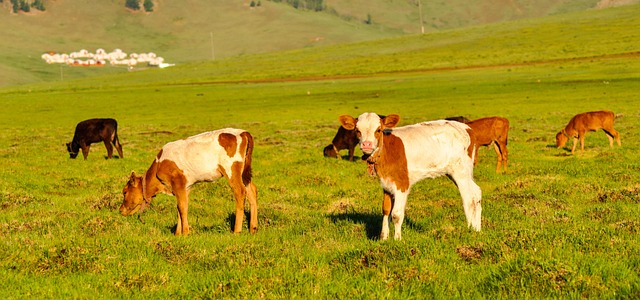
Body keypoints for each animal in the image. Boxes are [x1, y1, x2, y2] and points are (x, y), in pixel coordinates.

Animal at [119, 127, 258, 236]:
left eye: (124, 192)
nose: (120, 210)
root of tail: (242, 132)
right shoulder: (186, 186)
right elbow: (180, 207)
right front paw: (178, 233)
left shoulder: (178, 182)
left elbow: (182, 206)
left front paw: (185, 232)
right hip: (244, 173)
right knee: (252, 190)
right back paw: (253, 228)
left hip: (231, 169)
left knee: (240, 191)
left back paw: (237, 230)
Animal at [340, 113, 480, 241]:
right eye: (358, 130)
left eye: (378, 130)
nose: (367, 144)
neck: (386, 152)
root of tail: (467, 128)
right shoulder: (386, 184)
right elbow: (386, 210)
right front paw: (383, 238)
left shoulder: (402, 184)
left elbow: (396, 214)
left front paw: (397, 239)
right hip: (458, 172)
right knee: (476, 192)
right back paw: (477, 229)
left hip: (460, 171)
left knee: (468, 199)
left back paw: (469, 229)